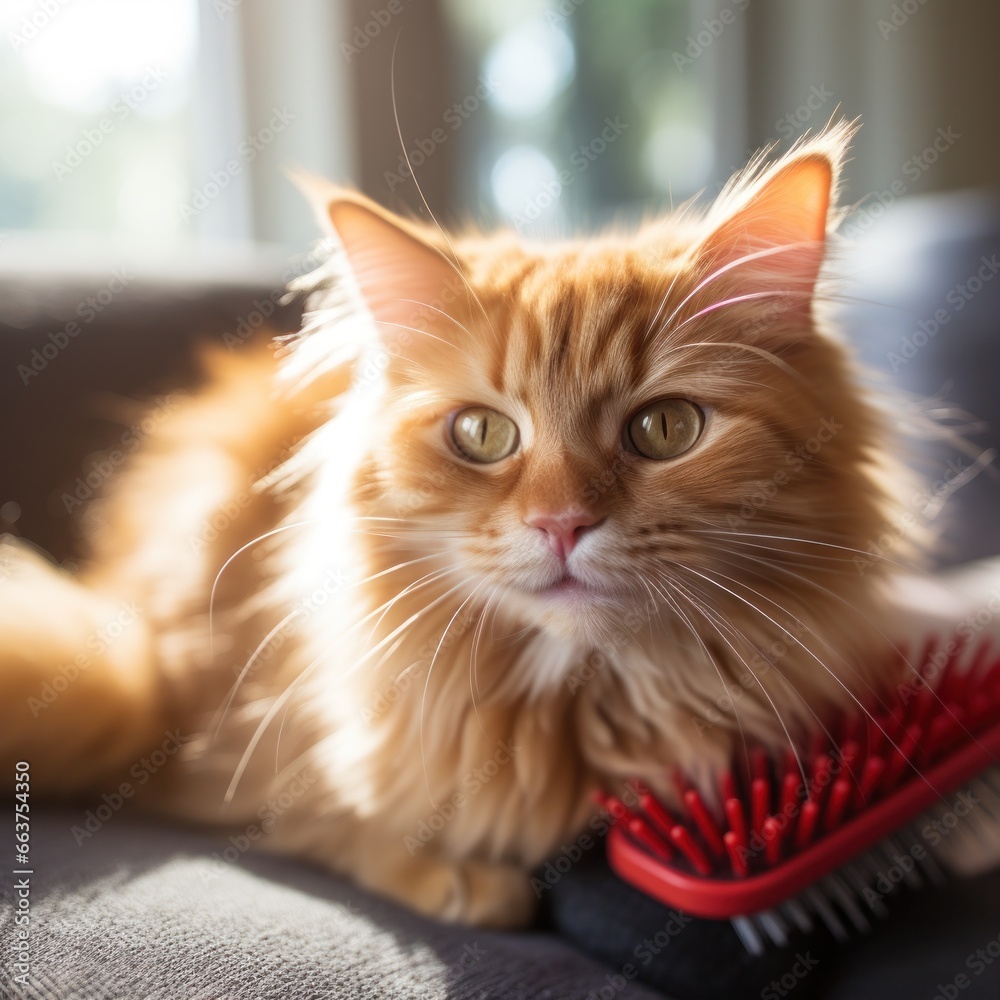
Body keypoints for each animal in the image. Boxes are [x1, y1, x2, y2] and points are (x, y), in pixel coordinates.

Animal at [0, 125, 908, 928]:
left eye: (667, 429)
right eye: (482, 434)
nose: (561, 523)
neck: (582, 708)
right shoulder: (237, 764)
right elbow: (340, 821)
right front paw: (464, 882)